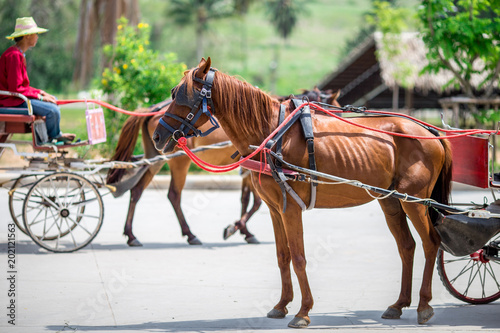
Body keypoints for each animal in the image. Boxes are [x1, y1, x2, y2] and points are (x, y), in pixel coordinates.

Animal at [152, 59, 454, 326]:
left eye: (181, 95)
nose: (157, 136)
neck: (272, 133)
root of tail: (428, 131)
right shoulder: (276, 209)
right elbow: (282, 256)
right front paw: (282, 304)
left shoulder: (291, 208)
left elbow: (298, 258)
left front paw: (303, 311)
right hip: (391, 201)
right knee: (407, 246)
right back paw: (399, 304)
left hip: (414, 201)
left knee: (430, 243)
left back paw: (424, 305)